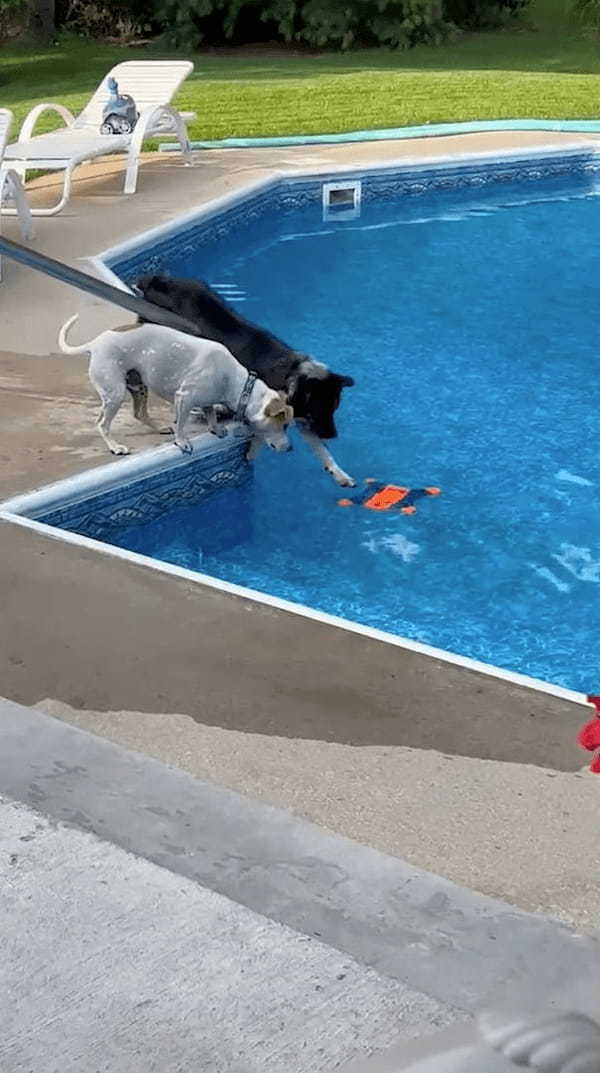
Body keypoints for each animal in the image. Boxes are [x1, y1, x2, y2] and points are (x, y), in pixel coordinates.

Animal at [59, 313, 294, 457]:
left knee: (139, 413)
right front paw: (182, 442)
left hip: (138, 386)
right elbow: (182, 423)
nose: (290, 448)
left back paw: (159, 428)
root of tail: (94, 344)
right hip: (114, 392)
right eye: (282, 425)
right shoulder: (184, 397)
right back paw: (116, 447)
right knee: (102, 423)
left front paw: (216, 428)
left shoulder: (207, 400)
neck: (239, 385)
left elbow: (210, 412)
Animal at [132, 274, 356, 489]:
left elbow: (322, 451)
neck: (291, 378)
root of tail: (158, 279)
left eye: (333, 409)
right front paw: (252, 453)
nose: (334, 435)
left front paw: (340, 475)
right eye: (320, 410)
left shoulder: (301, 420)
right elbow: (261, 434)